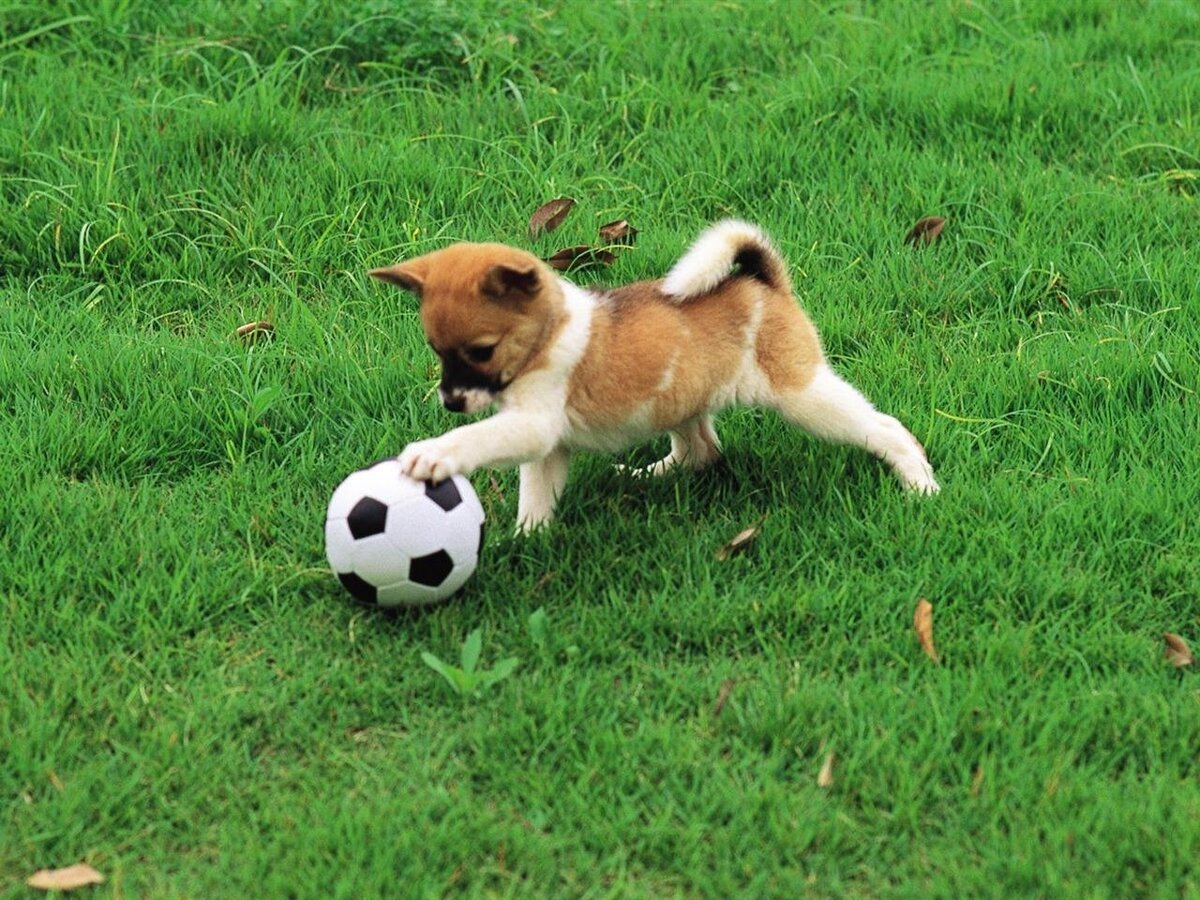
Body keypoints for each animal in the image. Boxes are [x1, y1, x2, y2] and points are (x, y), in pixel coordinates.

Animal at [367, 220, 936, 532]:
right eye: (436, 350)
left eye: (481, 351)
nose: (449, 403)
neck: (549, 334)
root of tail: (763, 281)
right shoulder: (546, 446)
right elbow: (536, 497)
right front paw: (530, 540)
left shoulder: (533, 426)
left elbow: (478, 438)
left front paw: (434, 454)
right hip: (681, 399)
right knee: (701, 450)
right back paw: (647, 474)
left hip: (803, 395)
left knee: (884, 428)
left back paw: (919, 481)